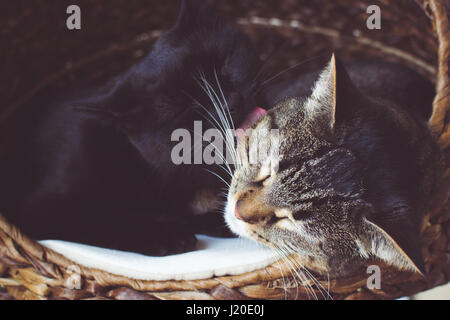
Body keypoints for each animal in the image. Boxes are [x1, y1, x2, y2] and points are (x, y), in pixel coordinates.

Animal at [0, 0, 260, 255]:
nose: (230, 103)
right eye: (184, 108)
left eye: (223, 67)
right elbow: (100, 219)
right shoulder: (39, 208)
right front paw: (164, 234)